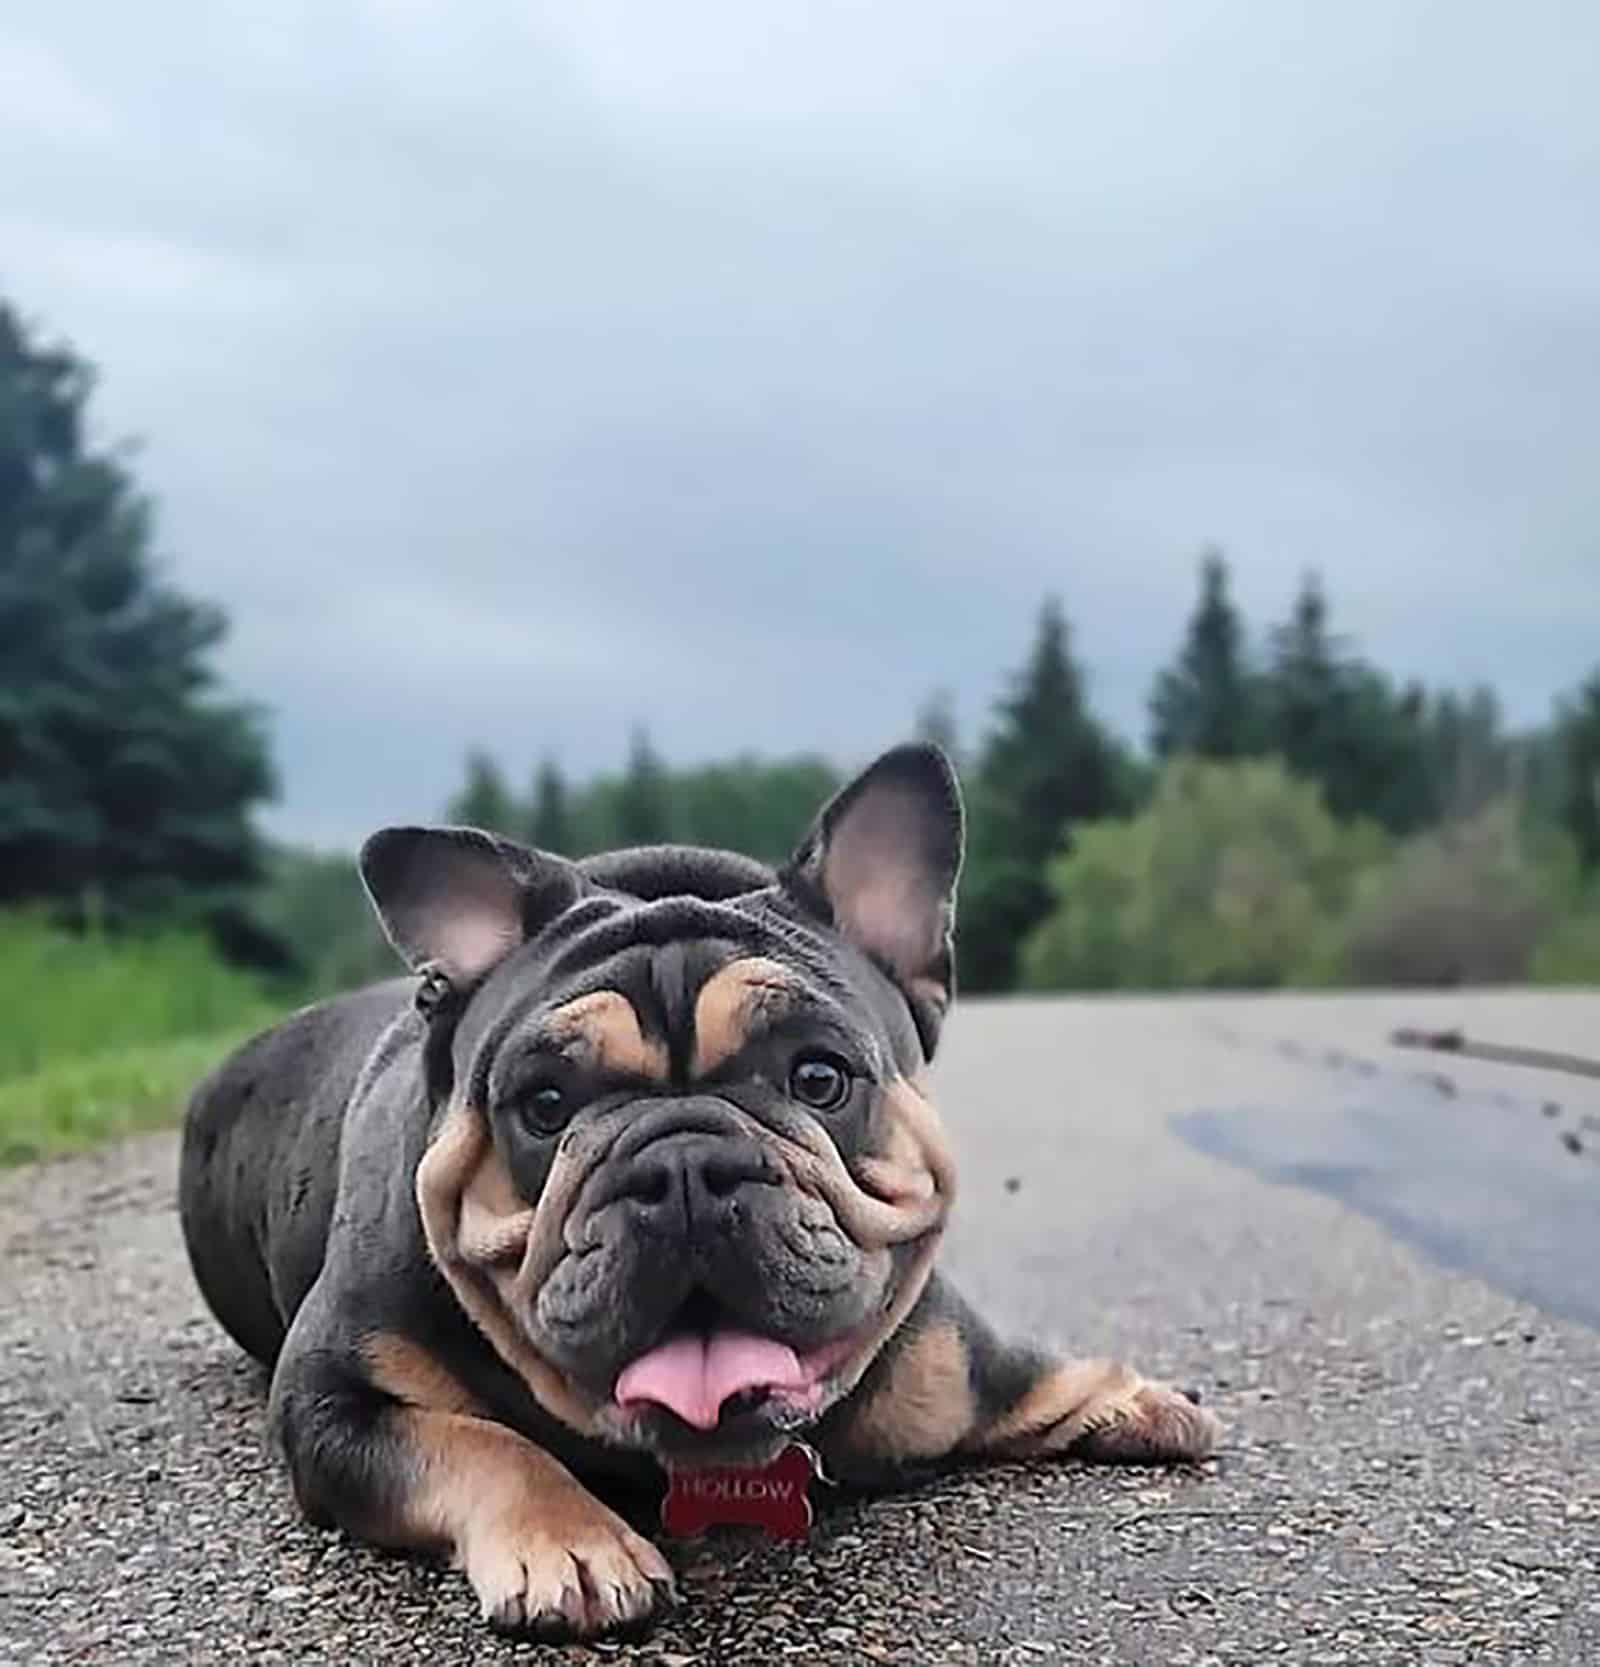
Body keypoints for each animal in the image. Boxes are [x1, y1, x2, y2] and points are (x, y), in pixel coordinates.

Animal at [181, 746, 1220, 1640]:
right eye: (545, 1104)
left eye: (820, 1077)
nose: (681, 1163)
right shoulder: (332, 1400)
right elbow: (475, 1441)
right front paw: (575, 1540)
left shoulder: (944, 1360)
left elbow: (1018, 1369)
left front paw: (1132, 1395)